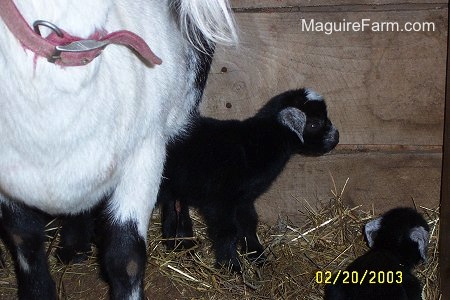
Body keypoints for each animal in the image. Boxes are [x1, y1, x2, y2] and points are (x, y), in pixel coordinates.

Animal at [157, 88, 338, 270]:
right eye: (314, 123)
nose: (336, 137)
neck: (256, 145)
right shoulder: (219, 201)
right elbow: (227, 231)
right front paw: (231, 266)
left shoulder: (244, 199)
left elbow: (249, 223)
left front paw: (257, 255)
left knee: (173, 212)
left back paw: (179, 246)